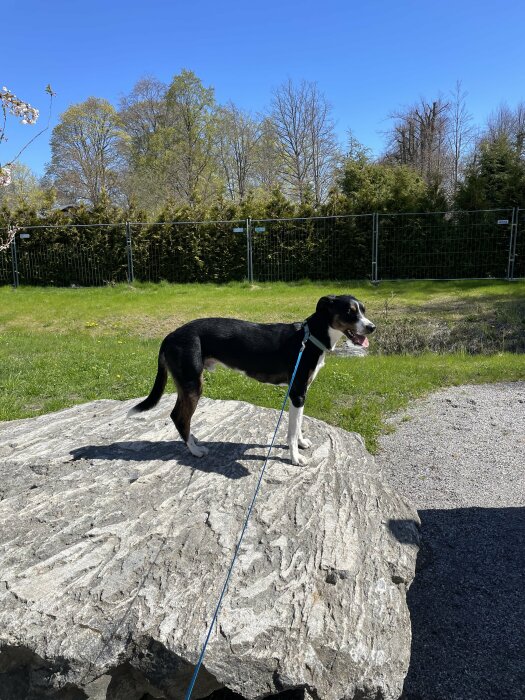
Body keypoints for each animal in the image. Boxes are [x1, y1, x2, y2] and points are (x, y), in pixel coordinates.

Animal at [129, 294, 374, 464]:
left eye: (363, 310)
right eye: (350, 312)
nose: (372, 327)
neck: (311, 336)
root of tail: (169, 336)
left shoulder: (300, 393)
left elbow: (298, 425)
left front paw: (302, 443)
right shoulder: (297, 392)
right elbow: (292, 431)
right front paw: (295, 458)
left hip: (187, 385)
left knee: (180, 417)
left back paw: (194, 441)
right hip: (192, 385)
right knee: (179, 417)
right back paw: (196, 450)